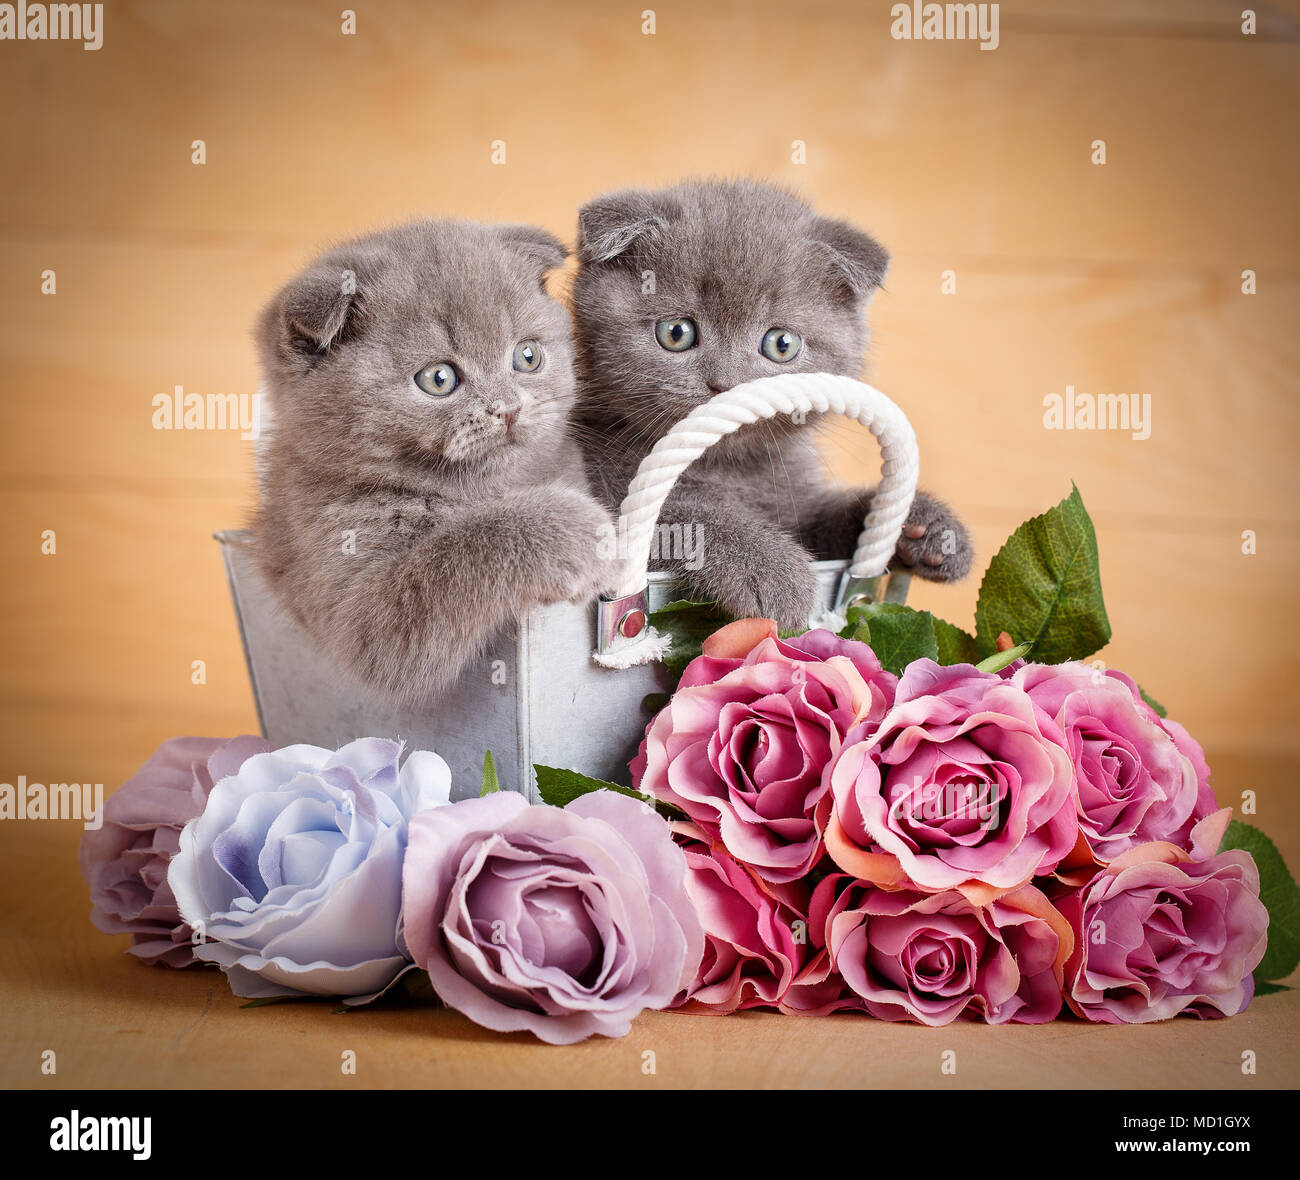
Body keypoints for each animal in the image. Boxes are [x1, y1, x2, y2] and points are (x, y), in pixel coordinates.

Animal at [260, 218, 618, 706]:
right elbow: (450, 556)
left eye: (527, 356)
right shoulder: (350, 602)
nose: (508, 409)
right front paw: (574, 532)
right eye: (438, 378)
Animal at [574, 176, 972, 631]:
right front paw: (767, 567)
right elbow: (682, 512)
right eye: (675, 332)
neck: (728, 469)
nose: (725, 384)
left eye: (782, 344)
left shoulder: (799, 502)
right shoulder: (599, 482)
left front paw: (927, 525)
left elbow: (828, 521)